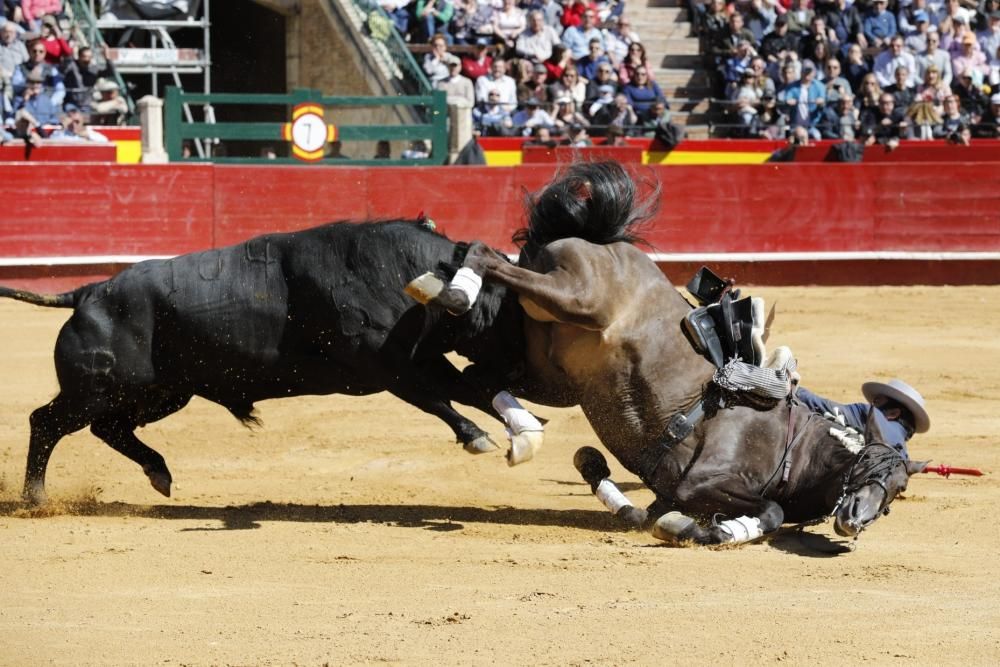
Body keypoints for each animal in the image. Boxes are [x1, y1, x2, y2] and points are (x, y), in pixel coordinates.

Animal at [1, 222, 524, 504]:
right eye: (511, 307)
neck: (399, 274)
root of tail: (88, 292)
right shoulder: (388, 369)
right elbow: (437, 402)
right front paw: (477, 437)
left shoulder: (425, 360)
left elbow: (473, 393)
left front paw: (524, 429)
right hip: (97, 390)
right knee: (47, 422)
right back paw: (36, 497)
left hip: (162, 393)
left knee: (107, 428)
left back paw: (159, 473)